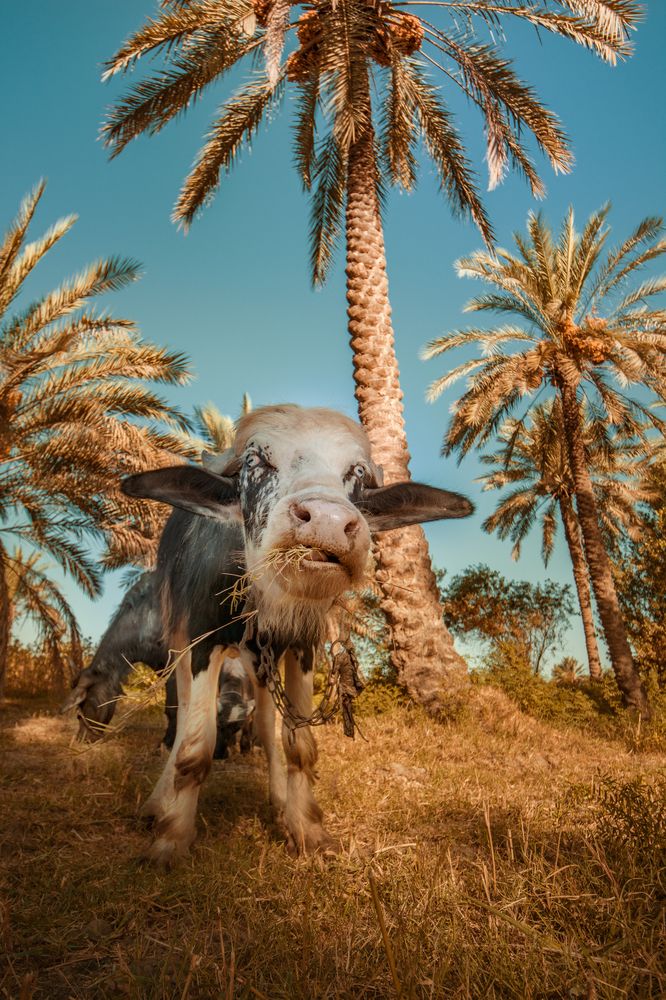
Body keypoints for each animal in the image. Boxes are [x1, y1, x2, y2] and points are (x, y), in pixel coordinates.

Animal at [61, 572, 254, 757]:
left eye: (85, 704)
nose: (82, 739)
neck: (149, 618)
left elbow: (174, 707)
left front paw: (166, 744)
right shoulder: (163, 668)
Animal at [122, 404, 473, 867]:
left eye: (357, 472)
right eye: (255, 461)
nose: (326, 521)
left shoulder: (302, 646)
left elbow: (299, 745)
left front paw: (306, 829)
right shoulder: (202, 642)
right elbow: (195, 747)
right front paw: (171, 839)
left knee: (266, 725)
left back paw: (277, 801)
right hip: (181, 644)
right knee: (180, 723)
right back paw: (157, 804)